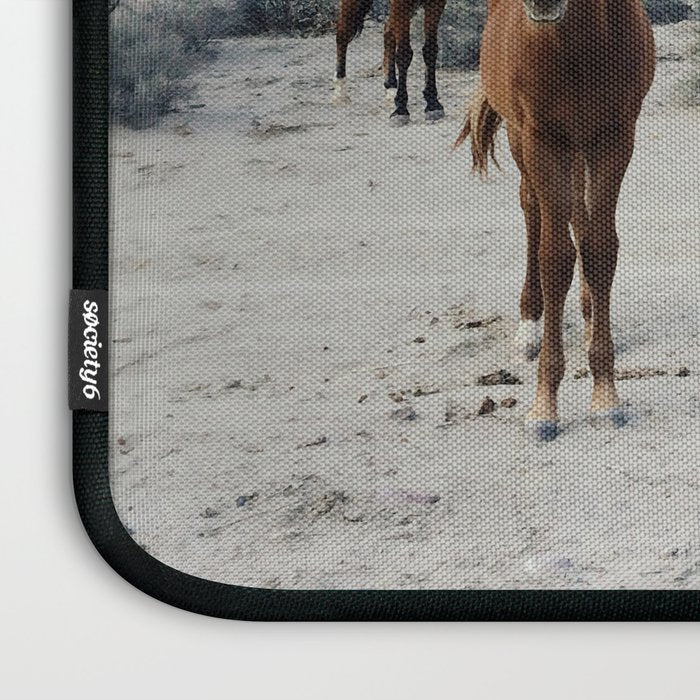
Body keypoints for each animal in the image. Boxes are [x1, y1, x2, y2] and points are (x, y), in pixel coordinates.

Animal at [456, 0, 655, 440]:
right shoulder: (542, 141)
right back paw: (530, 326)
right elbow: (554, 257)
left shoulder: (614, 137)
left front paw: (606, 395)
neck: (576, 47)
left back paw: (588, 315)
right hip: (524, 140)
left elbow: (599, 248)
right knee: (533, 210)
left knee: (580, 216)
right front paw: (544, 406)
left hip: (580, 147)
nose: (541, 4)